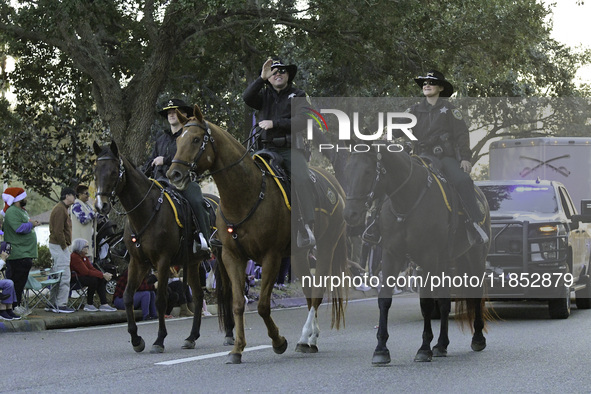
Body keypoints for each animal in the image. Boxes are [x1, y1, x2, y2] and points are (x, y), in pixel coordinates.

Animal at [166, 104, 350, 364]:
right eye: (177, 140)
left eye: (195, 139)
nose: (174, 175)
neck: (245, 195)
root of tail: (336, 188)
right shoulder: (232, 257)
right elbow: (237, 303)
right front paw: (237, 349)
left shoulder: (271, 256)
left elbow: (263, 305)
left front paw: (278, 341)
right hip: (298, 255)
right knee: (308, 291)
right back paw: (306, 338)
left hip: (326, 246)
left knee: (317, 292)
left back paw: (309, 338)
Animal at [344, 146, 492, 364]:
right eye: (348, 171)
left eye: (368, 172)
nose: (350, 214)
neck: (407, 200)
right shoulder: (391, 256)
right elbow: (385, 299)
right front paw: (381, 349)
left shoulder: (427, 258)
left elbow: (426, 303)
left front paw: (424, 348)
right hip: (445, 262)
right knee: (445, 302)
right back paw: (441, 344)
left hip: (474, 256)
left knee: (476, 294)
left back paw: (478, 338)